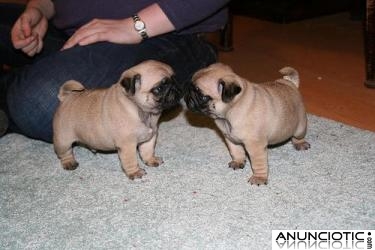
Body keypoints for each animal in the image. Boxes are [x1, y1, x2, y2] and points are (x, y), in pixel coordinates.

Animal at [53, 59, 181, 179]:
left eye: (175, 79)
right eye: (159, 88)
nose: (176, 88)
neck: (141, 110)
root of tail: (66, 98)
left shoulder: (150, 138)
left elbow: (147, 151)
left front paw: (151, 160)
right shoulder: (127, 145)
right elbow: (130, 160)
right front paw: (135, 172)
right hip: (63, 140)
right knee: (65, 153)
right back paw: (69, 163)